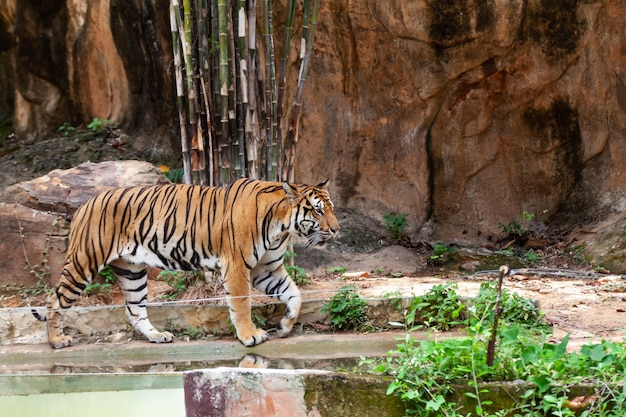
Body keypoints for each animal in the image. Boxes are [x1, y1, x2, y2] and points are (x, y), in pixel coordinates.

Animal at [42, 177, 338, 346]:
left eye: (331, 208)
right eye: (317, 211)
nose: (337, 229)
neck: (281, 225)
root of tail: (85, 204)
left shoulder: (267, 268)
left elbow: (295, 295)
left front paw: (285, 326)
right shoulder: (237, 266)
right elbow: (242, 303)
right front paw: (250, 335)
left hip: (131, 271)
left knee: (134, 310)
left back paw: (158, 336)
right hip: (83, 262)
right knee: (55, 301)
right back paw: (57, 340)